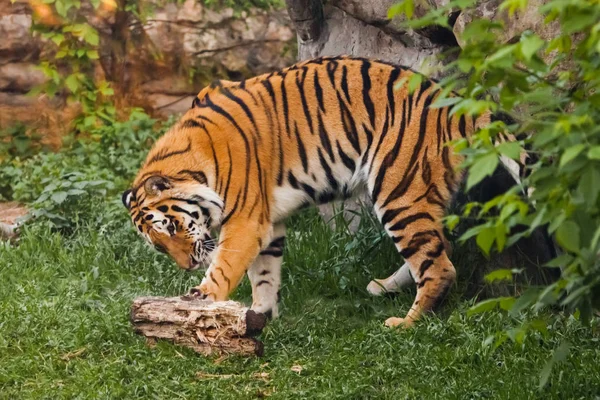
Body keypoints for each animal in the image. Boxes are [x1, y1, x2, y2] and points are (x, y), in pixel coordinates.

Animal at [122, 54, 506, 326]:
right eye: (159, 245)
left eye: (172, 227)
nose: (187, 265)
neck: (198, 161)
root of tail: (459, 105)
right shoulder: (267, 223)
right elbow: (265, 274)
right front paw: (259, 316)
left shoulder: (246, 222)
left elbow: (225, 267)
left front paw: (201, 301)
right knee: (440, 247)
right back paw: (383, 286)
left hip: (399, 191)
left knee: (439, 266)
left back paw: (404, 323)